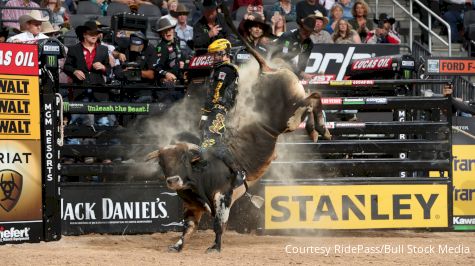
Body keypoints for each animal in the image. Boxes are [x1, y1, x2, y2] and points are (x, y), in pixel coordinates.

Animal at [145, 6, 330, 254]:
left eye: (183, 159)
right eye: (162, 162)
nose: (173, 181)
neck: (200, 171)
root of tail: (267, 70)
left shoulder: (223, 195)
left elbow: (219, 222)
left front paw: (215, 247)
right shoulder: (192, 206)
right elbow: (188, 228)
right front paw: (177, 246)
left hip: (290, 115)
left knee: (314, 98)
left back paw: (319, 128)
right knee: (312, 99)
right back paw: (316, 129)